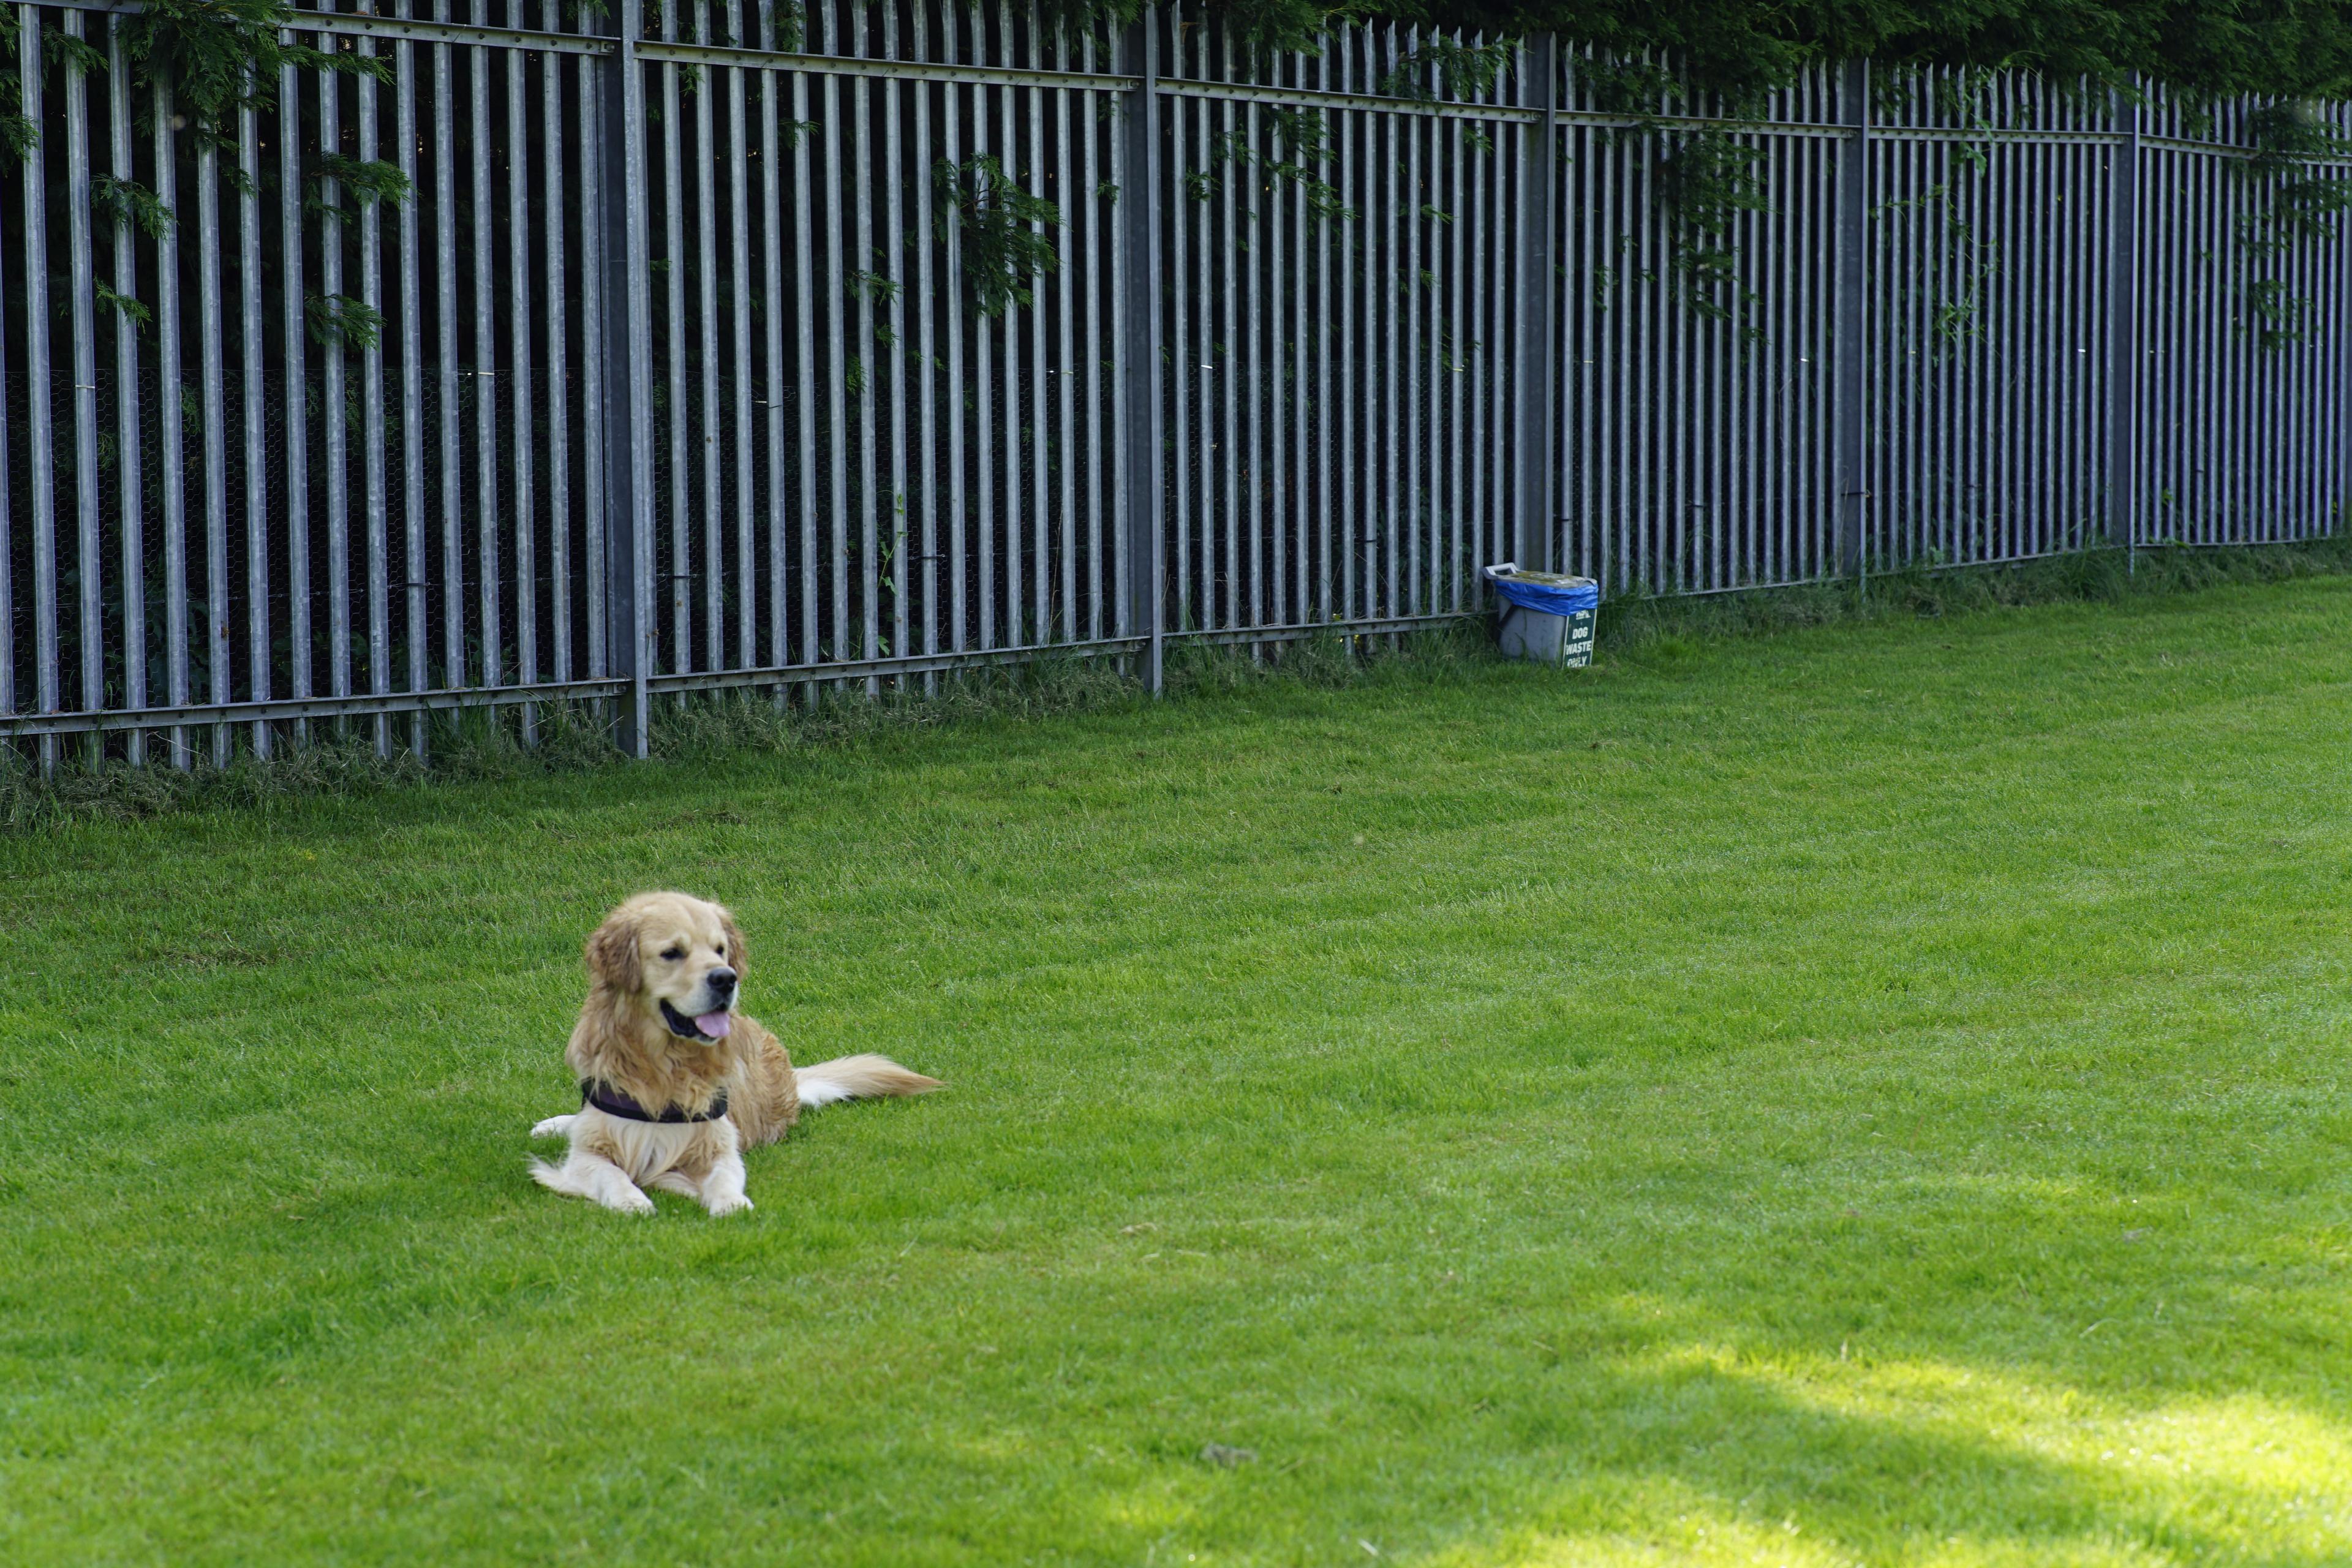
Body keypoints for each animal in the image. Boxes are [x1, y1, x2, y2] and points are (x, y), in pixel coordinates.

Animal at [533, 893, 936, 1213]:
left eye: (719, 949)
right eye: (672, 953)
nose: (726, 978)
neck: (667, 1063)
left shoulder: (719, 1142)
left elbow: (724, 1175)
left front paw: (730, 1203)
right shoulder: (590, 1152)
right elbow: (610, 1173)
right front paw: (631, 1200)